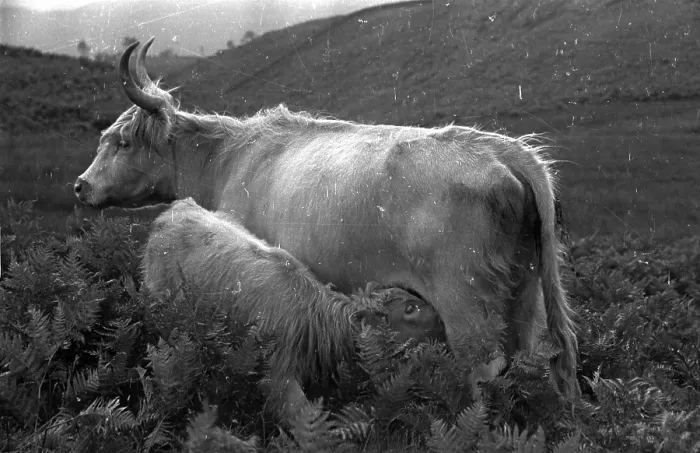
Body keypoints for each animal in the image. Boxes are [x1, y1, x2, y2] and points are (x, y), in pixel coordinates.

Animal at [75, 38, 580, 399]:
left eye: (122, 142)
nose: (80, 185)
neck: (227, 158)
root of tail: (502, 148)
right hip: (526, 293)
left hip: (466, 301)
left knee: (483, 369)